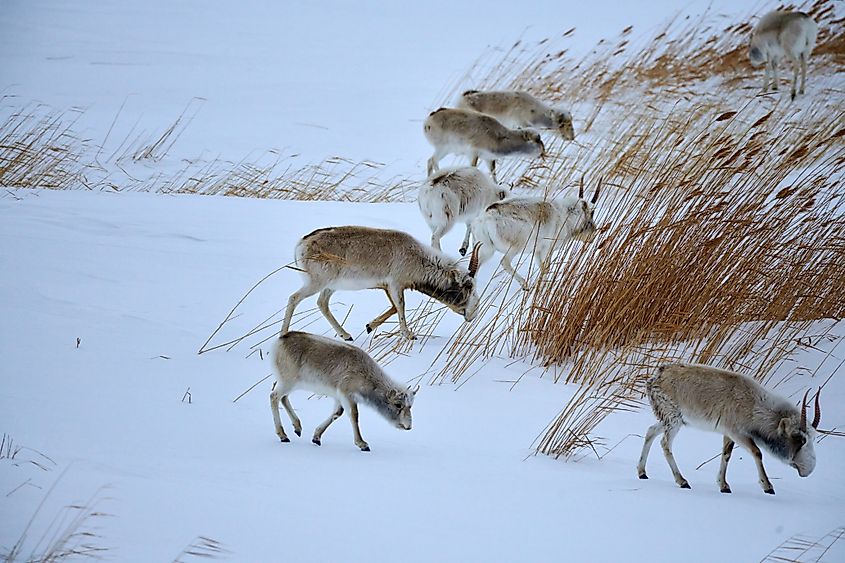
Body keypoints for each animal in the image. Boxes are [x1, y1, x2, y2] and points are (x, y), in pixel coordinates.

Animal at [270, 331, 418, 451]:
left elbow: (337, 413)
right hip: (288, 382)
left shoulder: (339, 396)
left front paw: (316, 437)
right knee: (274, 396)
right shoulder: (347, 394)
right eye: (398, 404)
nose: (409, 426)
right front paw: (362, 444)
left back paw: (297, 428)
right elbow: (354, 415)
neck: (366, 374)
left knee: (284, 398)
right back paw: (283, 435)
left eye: (410, 406)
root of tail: (280, 340)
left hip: (290, 384)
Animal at [281, 226, 482, 341]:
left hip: (330, 286)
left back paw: (346, 336)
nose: (472, 315)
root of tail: (302, 243)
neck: (417, 257)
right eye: (468, 287)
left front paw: (369, 326)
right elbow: (400, 306)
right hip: (317, 282)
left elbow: (393, 308)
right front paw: (409, 335)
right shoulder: (395, 285)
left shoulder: (387, 287)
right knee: (293, 298)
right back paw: (283, 334)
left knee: (322, 303)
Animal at [470, 178, 600, 290]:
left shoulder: (537, 252)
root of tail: (486, 216)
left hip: (486, 249)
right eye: (591, 214)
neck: (565, 214)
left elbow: (542, 268)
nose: (593, 236)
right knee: (504, 262)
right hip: (516, 247)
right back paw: (525, 285)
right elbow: (546, 268)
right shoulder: (546, 249)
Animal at [638, 363, 822, 495]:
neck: (753, 403)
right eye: (800, 439)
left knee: (650, 431)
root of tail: (655, 377)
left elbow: (726, 454)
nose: (809, 469)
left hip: (670, 420)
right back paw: (683, 481)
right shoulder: (737, 432)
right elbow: (757, 452)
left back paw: (642, 472)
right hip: (673, 420)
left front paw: (724, 486)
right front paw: (768, 486)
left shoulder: (728, 433)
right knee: (665, 443)